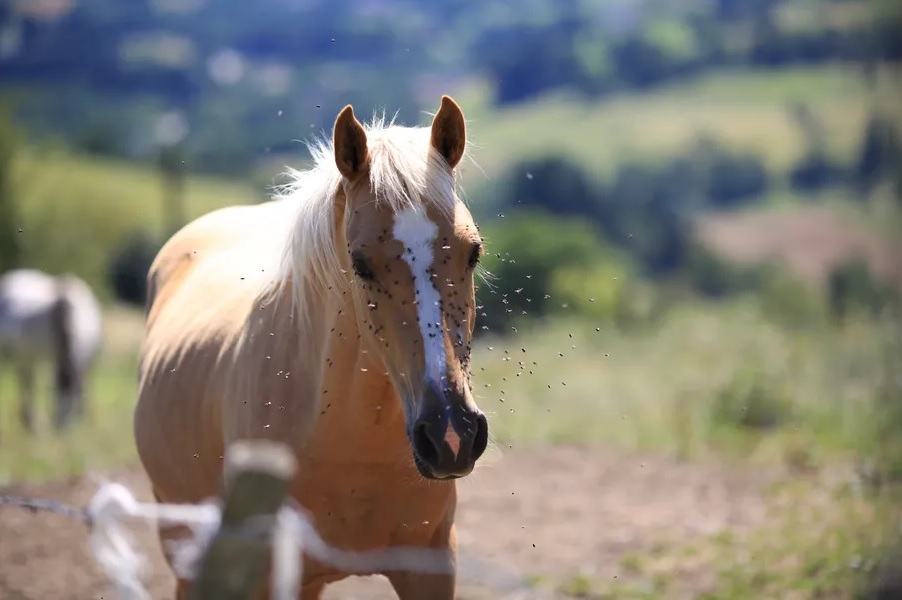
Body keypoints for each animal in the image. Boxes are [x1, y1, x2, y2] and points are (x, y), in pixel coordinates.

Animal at [0, 268, 103, 435]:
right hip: (25, 356)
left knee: (27, 380)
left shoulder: (83, 362)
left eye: (70, 401)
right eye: (60, 398)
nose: (60, 429)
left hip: (31, 357)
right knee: (26, 383)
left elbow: (82, 388)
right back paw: (31, 421)